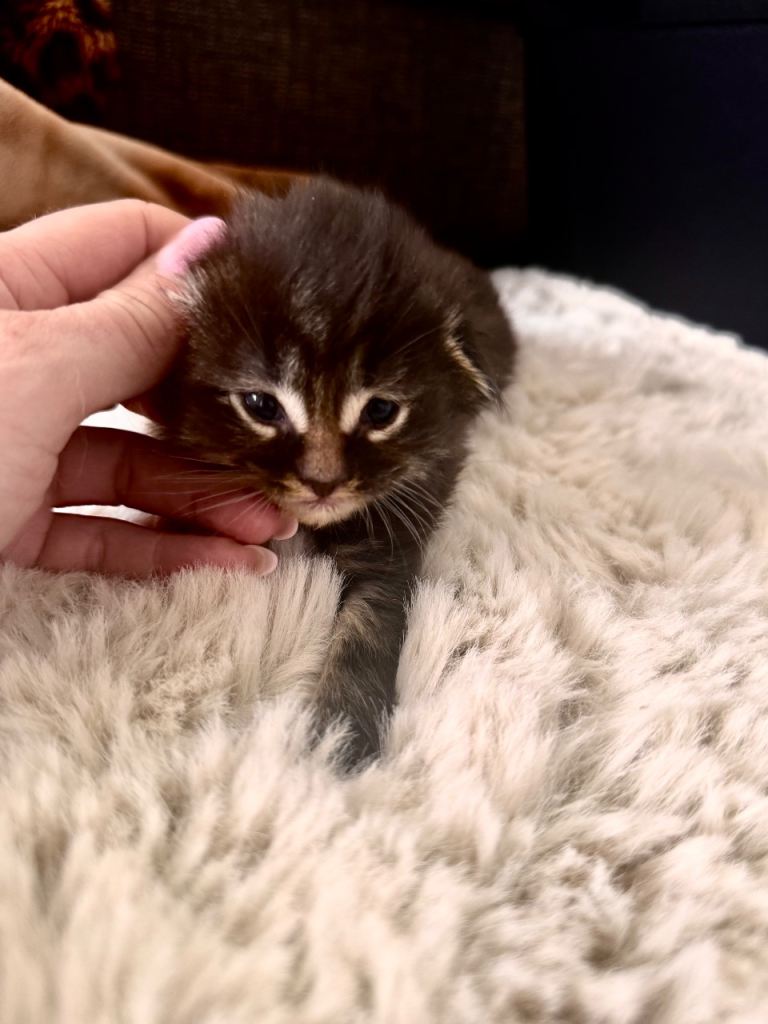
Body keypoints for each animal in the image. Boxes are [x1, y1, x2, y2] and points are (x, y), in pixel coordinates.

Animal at [158, 176, 516, 769]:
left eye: (381, 412)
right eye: (261, 405)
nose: (323, 482)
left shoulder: (395, 534)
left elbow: (366, 629)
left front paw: (342, 735)